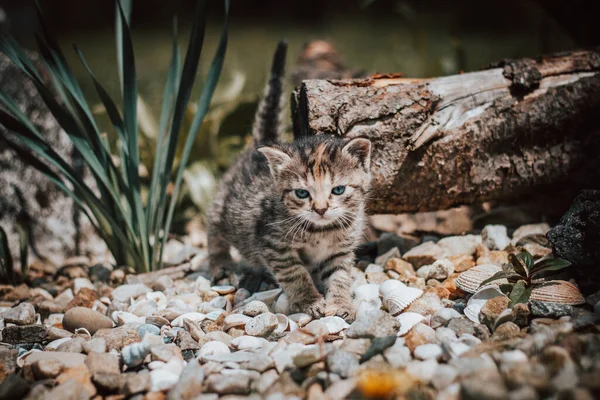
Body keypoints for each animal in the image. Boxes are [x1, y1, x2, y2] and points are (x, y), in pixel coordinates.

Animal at [210, 40, 370, 322]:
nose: (321, 209)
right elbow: (295, 273)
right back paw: (220, 263)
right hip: (222, 203)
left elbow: (340, 275)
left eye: (338, 190)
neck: (322, 230)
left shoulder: (341, 249)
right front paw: (310, 301)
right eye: (302, 193)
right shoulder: (273, 244)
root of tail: (258, 146)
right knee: (214, 231)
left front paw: (340, 303)